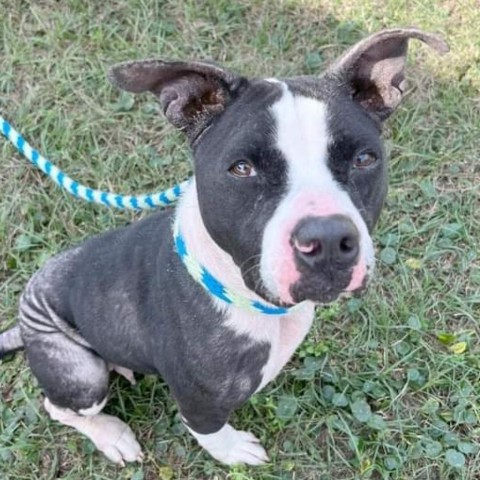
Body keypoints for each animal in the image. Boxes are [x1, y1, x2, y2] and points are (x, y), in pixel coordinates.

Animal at [0, 29, 446, 464]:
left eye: (364, 159)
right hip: (82, 375)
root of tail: (24, 318)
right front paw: (233, 451)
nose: (328, 239)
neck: (246, 297)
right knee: (59, 406)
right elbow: (209, 431)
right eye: (242, 168)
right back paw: (113, 435)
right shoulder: (199, 401)